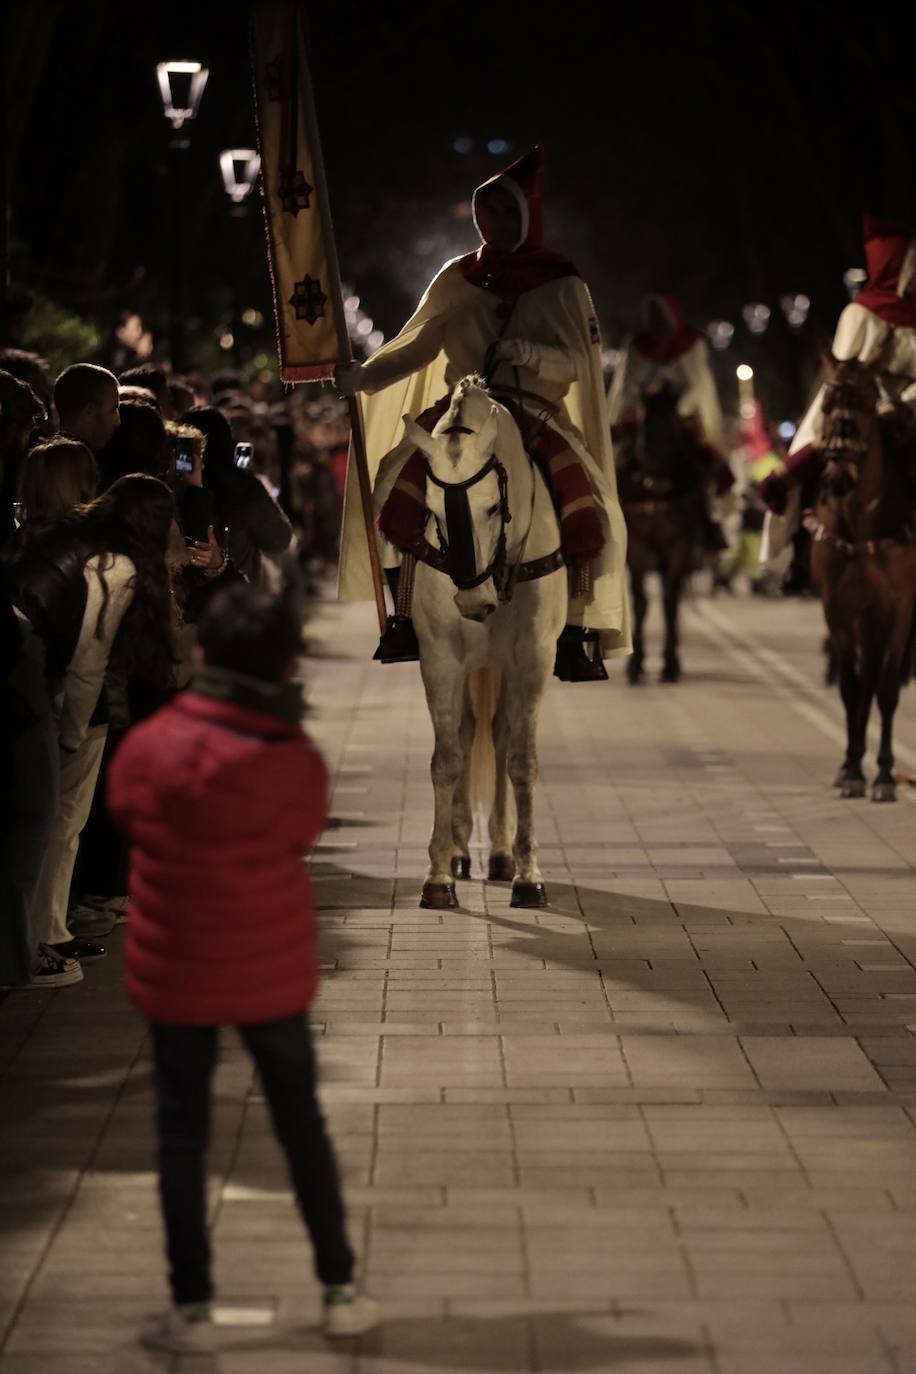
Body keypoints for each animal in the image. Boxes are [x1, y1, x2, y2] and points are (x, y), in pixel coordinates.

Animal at [401, 379, 565, 912]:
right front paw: (437, 876)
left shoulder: (533, 659)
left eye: (493, 507)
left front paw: (529, 876)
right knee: (472, 732)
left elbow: (522, 761)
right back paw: (459, 851)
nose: (473, 601)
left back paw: (500, 853)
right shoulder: (440, 659)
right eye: (433, 511)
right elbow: (448, 759)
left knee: (500, 737)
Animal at [615, 384, 708, 684]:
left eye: (674, 431)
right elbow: (641, 601)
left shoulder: (678, 546)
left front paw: (669, 663)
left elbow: (668, 601)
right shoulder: (637, 547)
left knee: (674, 599)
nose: (657, 483)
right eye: (644, 432)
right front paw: (636, 663)